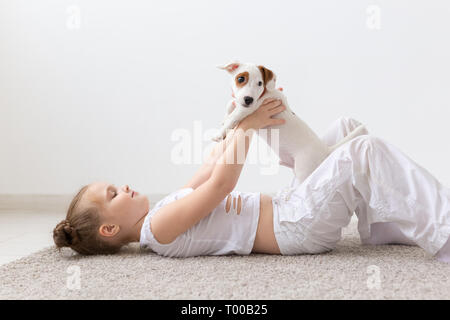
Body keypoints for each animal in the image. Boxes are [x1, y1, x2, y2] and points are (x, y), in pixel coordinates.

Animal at [214, 61, 366, 184]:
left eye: (260, 83)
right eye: (241, 78)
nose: (248, 99)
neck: (264, 94)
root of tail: (325, 150)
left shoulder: (251, 108)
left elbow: (234, 115)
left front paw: (220, 132)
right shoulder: (242, 104)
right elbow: (231, 105)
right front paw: (224, 119)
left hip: (304, 170)